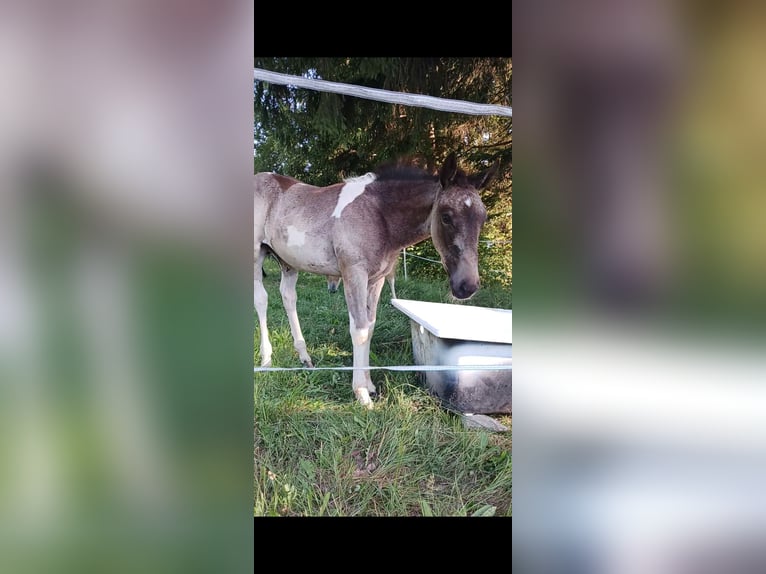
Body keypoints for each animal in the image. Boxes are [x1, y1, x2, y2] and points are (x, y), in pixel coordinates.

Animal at [254, 153, 498, 408]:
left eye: (483, 218)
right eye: (446, 217)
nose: (467, 286)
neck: (380, 216)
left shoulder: (377, 279)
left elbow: (370, 328)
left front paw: (370, 386)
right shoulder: (354, 274)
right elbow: (359, 329)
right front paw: (361, 393)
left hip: (288, 263)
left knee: (288, 297)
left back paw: (305, 358)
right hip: (256, 253)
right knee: (261, 299)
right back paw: (266, 359)